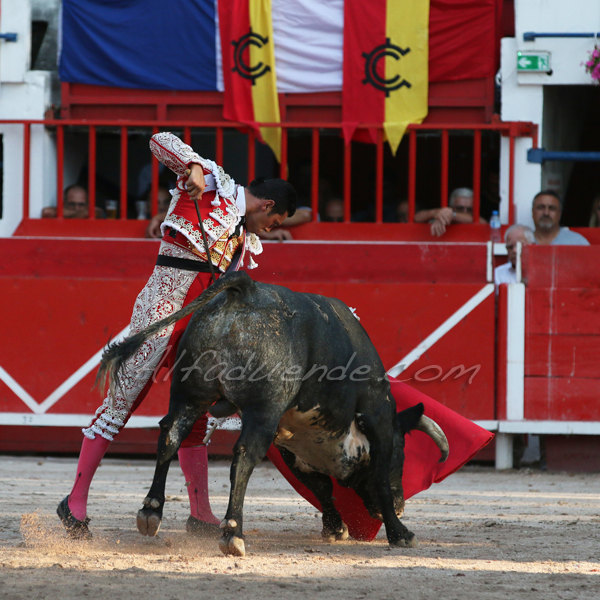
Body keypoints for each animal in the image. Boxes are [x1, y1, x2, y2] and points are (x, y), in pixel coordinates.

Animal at [97, 272, 446, 556]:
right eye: (403, 451)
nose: (402, 504)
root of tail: (246, 290)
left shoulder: (290, 441)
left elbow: (321, 486)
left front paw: (335, 527)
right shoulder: (378, 416)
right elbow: (377, 479)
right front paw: (400, 533)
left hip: (189, 395)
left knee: (170, 436)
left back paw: (151, 512)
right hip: (262, 411)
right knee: (244, 455)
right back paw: (233, 533)